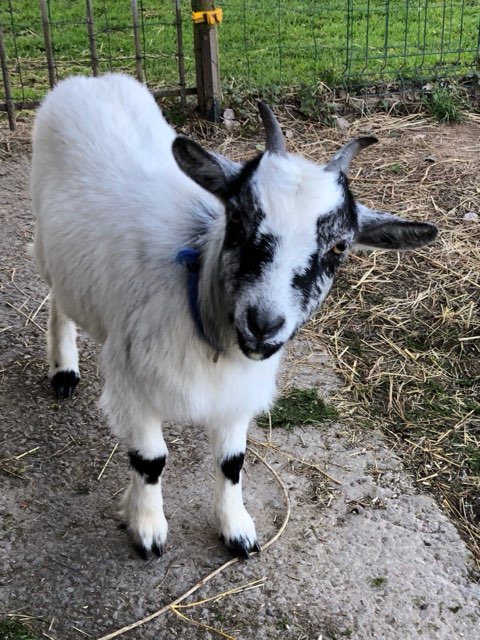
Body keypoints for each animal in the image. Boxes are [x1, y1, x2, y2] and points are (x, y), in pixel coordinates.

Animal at [30, 72, 436, 556]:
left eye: (340, 247)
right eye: (237, 218)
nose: (263, 324)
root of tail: (89, 78)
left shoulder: (236, 395)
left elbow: (232, 462)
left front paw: (236, 528)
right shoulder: (134, 384)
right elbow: (151, 460)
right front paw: (147, 528)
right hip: (49, 247)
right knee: (56, 301)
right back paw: (64, 370)